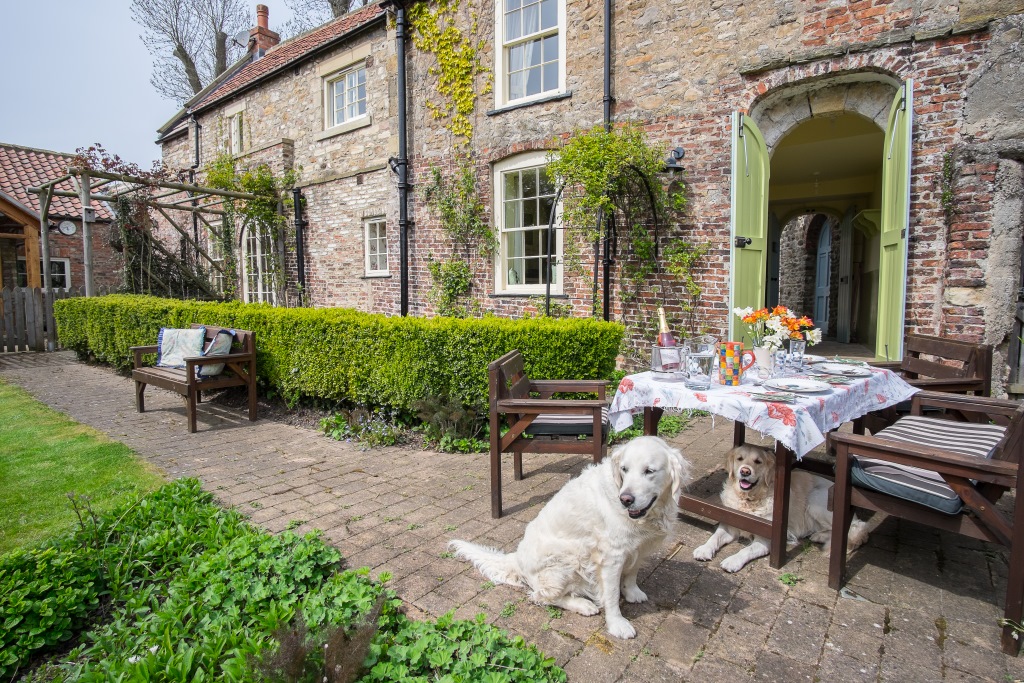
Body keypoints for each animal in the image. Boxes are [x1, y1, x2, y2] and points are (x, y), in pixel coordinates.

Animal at [452, 438, 692, 643]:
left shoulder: (638, 547)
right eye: (624, 469)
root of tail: (517, 558)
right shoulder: (611, 556)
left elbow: (632, 573)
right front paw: (617, 624)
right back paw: (583, 605)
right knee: (541, 596)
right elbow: (612, 595)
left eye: (649, 471)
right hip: (568, 558)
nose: (625, 499)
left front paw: (633, 592)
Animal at [692, 444, 868, 573]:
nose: (745, 471)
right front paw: (704, 550)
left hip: (815, 500)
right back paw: (817, 535)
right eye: (739, 459)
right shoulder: (729, 526)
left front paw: (732, 561)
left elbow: (746, 551)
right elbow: (714, 538)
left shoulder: (765, 539)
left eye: (758, 462)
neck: (748, 500)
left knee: (852, 528)